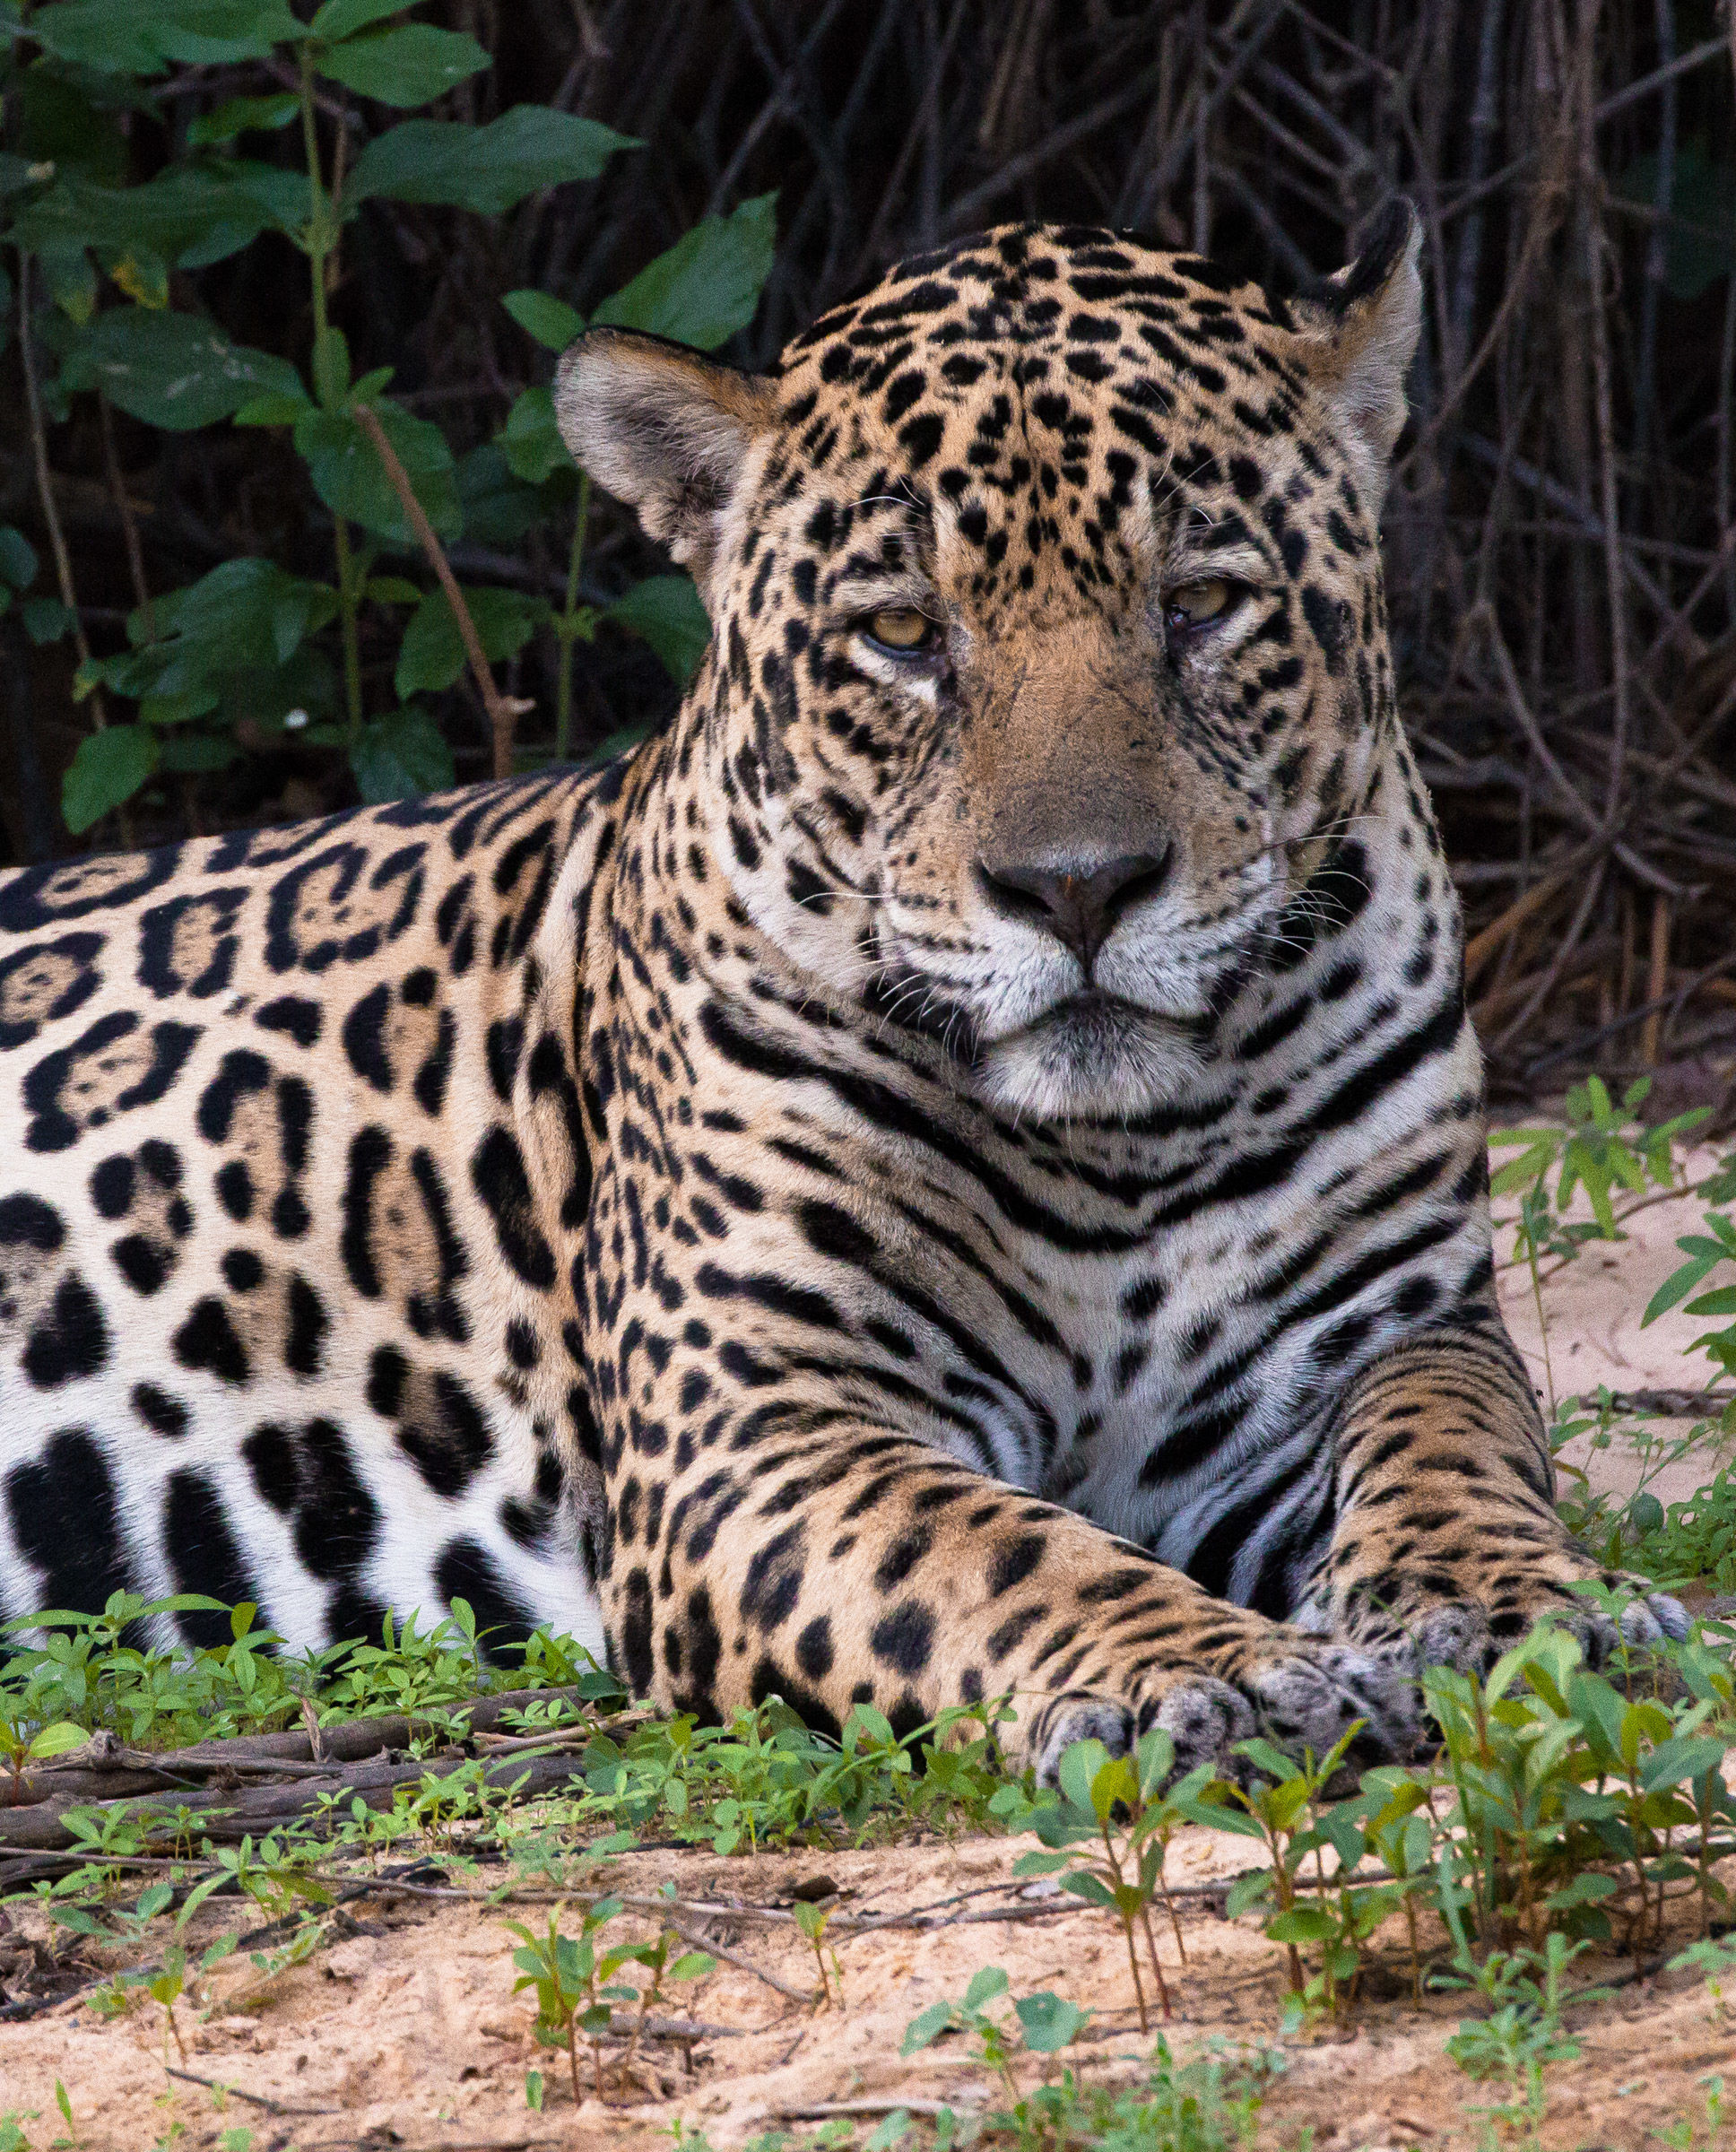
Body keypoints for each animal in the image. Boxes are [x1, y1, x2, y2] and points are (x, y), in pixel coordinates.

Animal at [0, 201, 1686, 1784]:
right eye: (901, 635)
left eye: (1204, 604)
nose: (1079, 888)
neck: (1119, 1146)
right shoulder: (758, 1418)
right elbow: (991, 1547)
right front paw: (1205, 1673)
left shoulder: (1391, 1326)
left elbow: (1452, 1453)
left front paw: (1532, 1614)